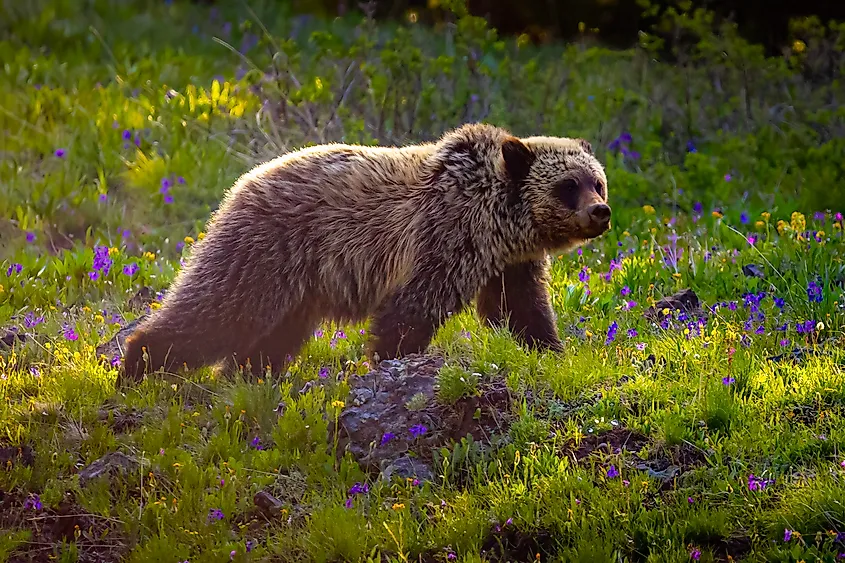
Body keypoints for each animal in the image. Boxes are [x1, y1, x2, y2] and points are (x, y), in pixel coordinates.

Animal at [120, 122, 611, 385]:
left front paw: (551, 352)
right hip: (267, 247)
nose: (601, 212)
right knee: (218, 310)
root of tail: (244, 180)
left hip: (298, 286)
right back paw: (139, 365)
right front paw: (392, 359)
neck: (500, 220)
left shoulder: (509, 262)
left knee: (271, 334)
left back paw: (247, 377)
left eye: (598, 182)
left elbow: (519, 309)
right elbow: (412, 307)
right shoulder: (444, 236)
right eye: (568, 185)